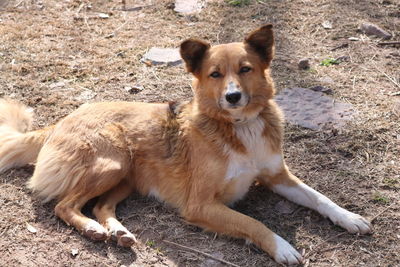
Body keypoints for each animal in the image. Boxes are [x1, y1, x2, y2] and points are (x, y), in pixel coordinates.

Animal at [0, 24, 372, 266]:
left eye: (245, 69)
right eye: (215, 74)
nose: (233, 96)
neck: (239, 127)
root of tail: (62, 119)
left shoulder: (277, 176)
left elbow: (319, 197)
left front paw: (350, 218)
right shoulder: (201, 205)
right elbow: (253, 223)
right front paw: (281, 247)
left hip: (127, 176)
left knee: (101, 206)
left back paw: (118, 231)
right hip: (113, 161)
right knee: (65, 206)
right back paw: (92, 229)